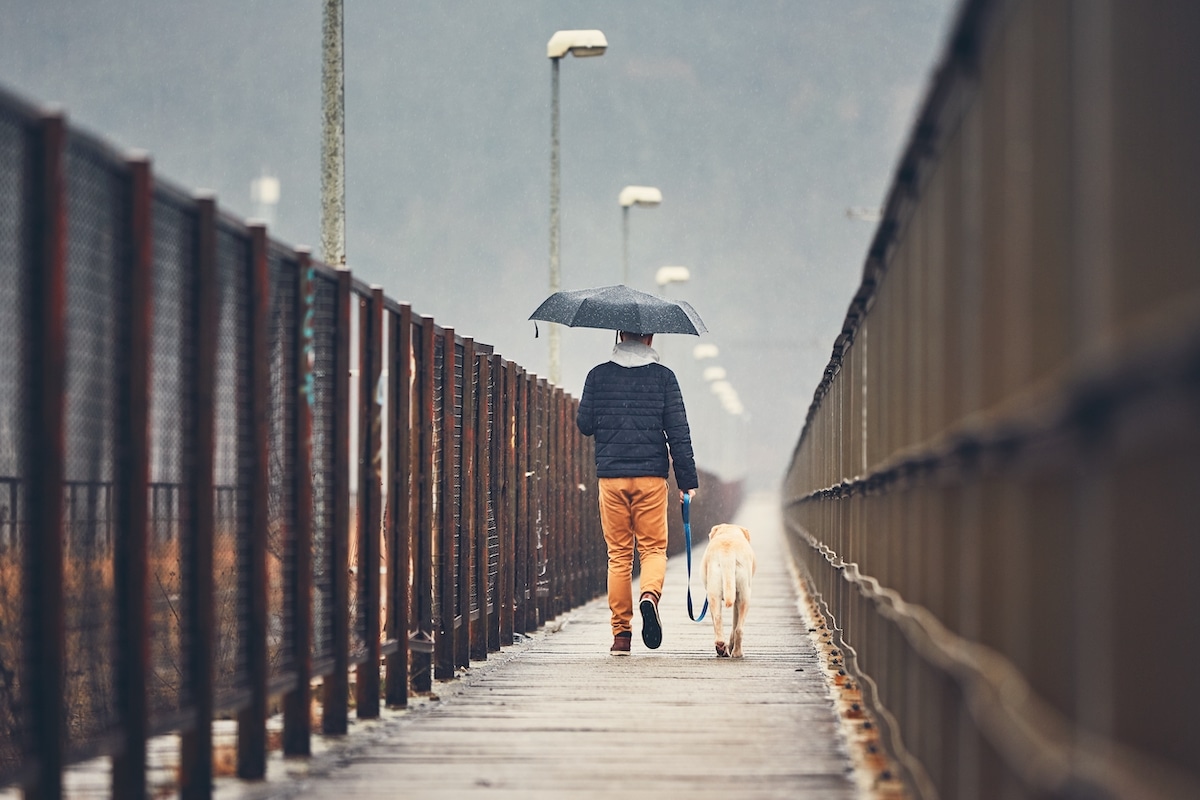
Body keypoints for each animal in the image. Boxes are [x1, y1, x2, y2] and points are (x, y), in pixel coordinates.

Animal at [700, 525, 753, 657]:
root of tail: (728, 553)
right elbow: (734, 625)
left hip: (715, 595)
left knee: (719, 619)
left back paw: (723, 648)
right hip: (744, 596)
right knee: (738, 628)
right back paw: (736, 653)